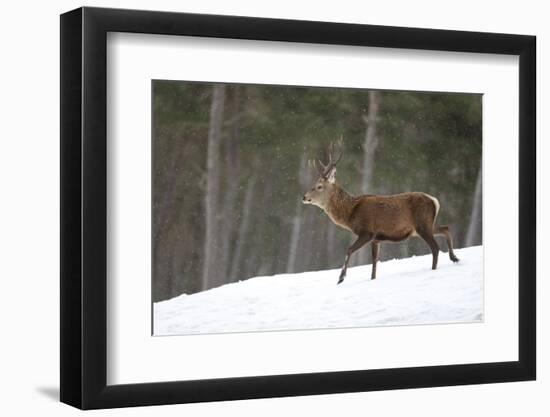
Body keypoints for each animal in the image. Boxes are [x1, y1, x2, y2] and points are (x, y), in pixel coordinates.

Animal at [302, 141, 462, 284]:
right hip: (424, 226)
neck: (350, 214)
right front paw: (372, 279)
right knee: (445, 228)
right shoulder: (376, 238)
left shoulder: (367, 231)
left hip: (422, 224)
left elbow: (349, 249)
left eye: (319, 186)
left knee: (435, 247)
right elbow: (374, 262)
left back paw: (435, 269)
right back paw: (454, 258)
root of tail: (434, 200)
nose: (304, 197)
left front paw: (341, 278)